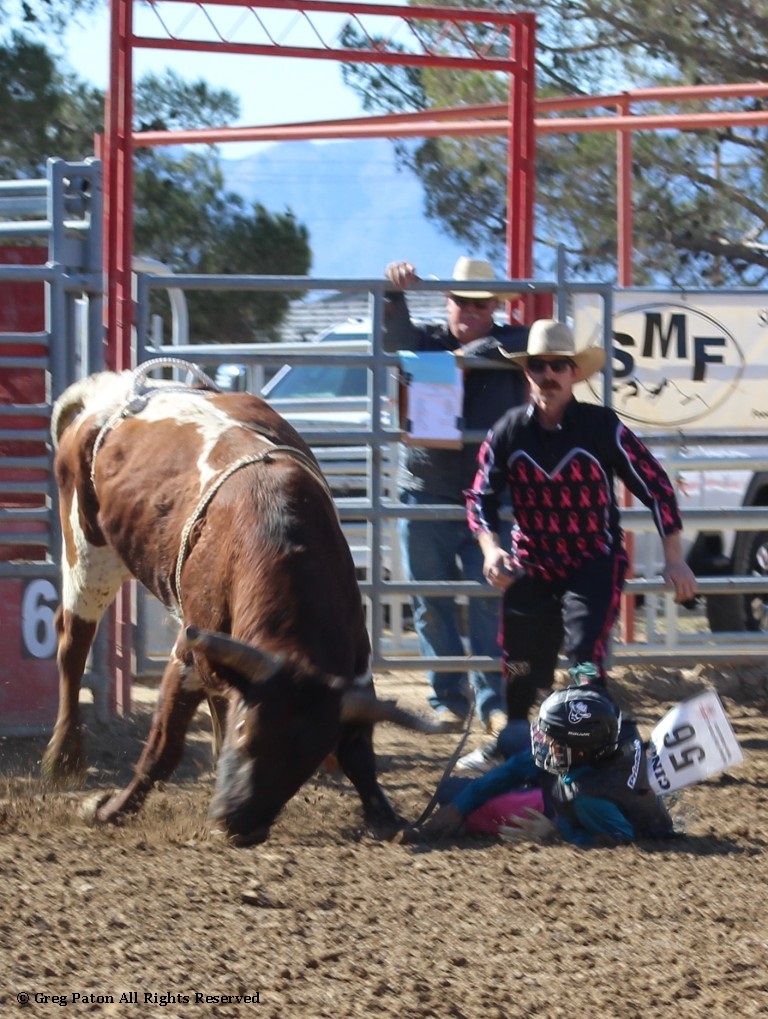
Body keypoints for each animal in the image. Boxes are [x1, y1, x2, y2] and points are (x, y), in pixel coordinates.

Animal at [42, 360, 434, 844]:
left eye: (307, 760)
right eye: (247, 736)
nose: (239, 822)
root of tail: (111, 394)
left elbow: (359, 752)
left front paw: (386, 816)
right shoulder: (188, 650)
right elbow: (164, 745)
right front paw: (110, 808)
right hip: (86, 548)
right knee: (72, 642)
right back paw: (64, 756)